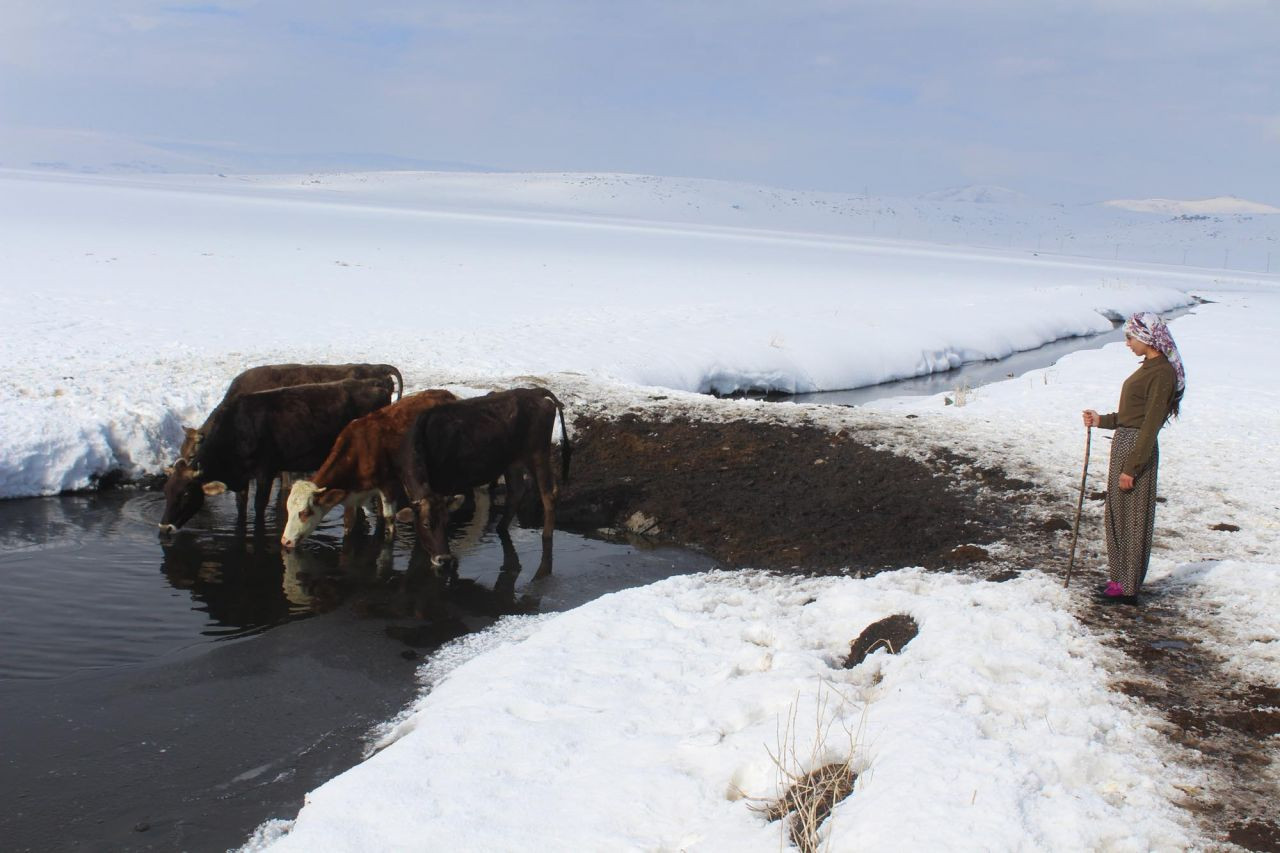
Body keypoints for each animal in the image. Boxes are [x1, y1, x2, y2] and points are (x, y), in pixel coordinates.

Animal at [160, 376, 391, 532]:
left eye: (186, 493)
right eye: (167, 490)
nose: (164, 528)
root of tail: (377, 385)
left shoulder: (266, 471)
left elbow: (259, 506)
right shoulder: (242, 478)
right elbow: (241, 506)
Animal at [280, 384, 460, 545]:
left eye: (305, 512)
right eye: (288, 510)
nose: (285, 541)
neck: (359, 452)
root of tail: (448, 394)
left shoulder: (388, 485)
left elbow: (389, 519)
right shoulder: (353, 497)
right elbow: (350, 524)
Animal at [391, 386, 568, 573]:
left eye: (447, 522)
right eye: (426, 524)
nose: (443, 559)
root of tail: (536, 391)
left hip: (537, 454)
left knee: (549, 494)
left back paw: (546, 536)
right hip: (512, 461)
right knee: (517, 491)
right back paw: (501, 528)